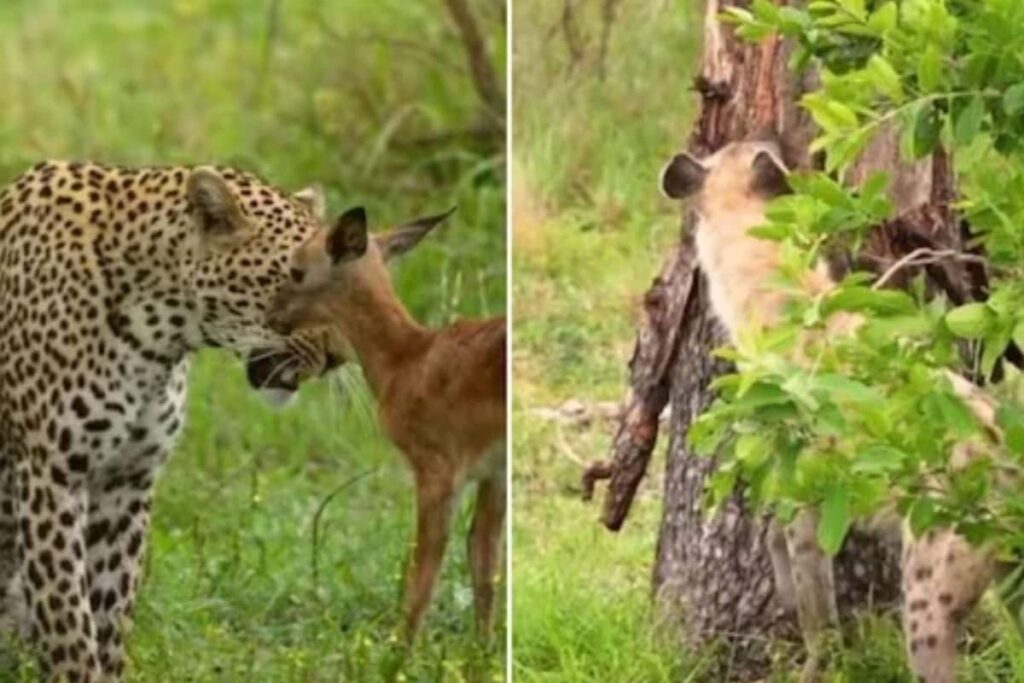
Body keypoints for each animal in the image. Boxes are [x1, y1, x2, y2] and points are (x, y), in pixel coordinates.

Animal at [0, 160, 344, 681]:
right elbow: (70, 620)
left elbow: (109, 612)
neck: (158, 338)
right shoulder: (51, 477)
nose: (341, 356)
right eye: (296, 278)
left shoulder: (126, 481)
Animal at [267, 206, 507, 644]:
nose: (271, 315)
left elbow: (423, 570)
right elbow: (483, 561)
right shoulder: (492, 471)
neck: (405, 361)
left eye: (297, 269)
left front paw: (400, 651)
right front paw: (482, 650)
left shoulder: (437, 466)